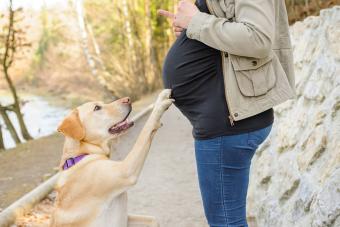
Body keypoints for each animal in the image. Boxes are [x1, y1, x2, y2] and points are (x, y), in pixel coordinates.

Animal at [50, 89, 174, 226]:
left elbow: (154, 220)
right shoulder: (125, 171)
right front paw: (160, 102)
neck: (80, 155)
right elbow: (146, 129)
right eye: (97, 108)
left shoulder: (126, 220)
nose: (128, 99)